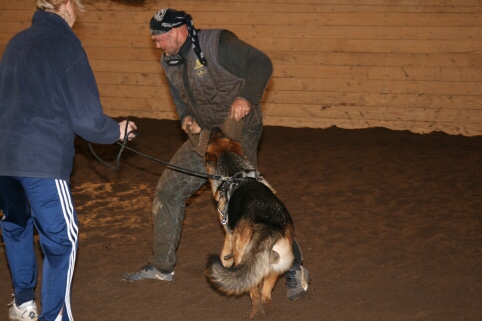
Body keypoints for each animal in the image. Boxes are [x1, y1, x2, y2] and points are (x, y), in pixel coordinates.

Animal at [202, 126, 294, 316]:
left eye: (208, 145)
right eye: (221, 135)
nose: (215, 128)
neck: (235, 173)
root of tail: (268, 229)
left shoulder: (228, 232)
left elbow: (224, 256)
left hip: (242, 255)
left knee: (255, 294)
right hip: (278, 265)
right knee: (265, 294)